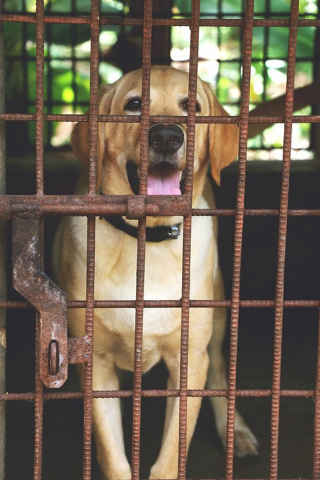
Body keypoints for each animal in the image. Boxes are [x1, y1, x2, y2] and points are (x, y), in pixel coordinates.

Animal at [52, 66, 258, 480]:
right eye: (134, 105)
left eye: (191, 106)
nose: (166, 135)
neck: (148, 242)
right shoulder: (95, 364)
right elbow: (113, 456)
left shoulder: (189, 360)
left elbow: (170, 455)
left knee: (219, 374)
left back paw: (237, 434)